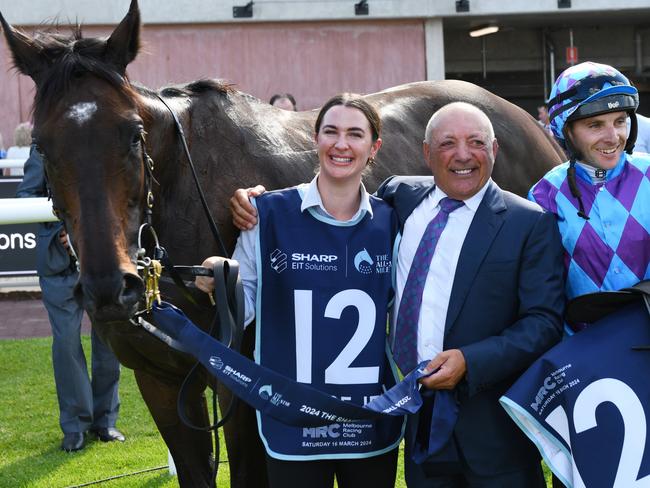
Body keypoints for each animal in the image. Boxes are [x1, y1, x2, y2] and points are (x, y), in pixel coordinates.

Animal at [0, 1, 560, 486]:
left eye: (133, 134)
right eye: (42, 146)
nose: (110, 290)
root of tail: (525, 119)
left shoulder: (243, 387)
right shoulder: (159, 380)